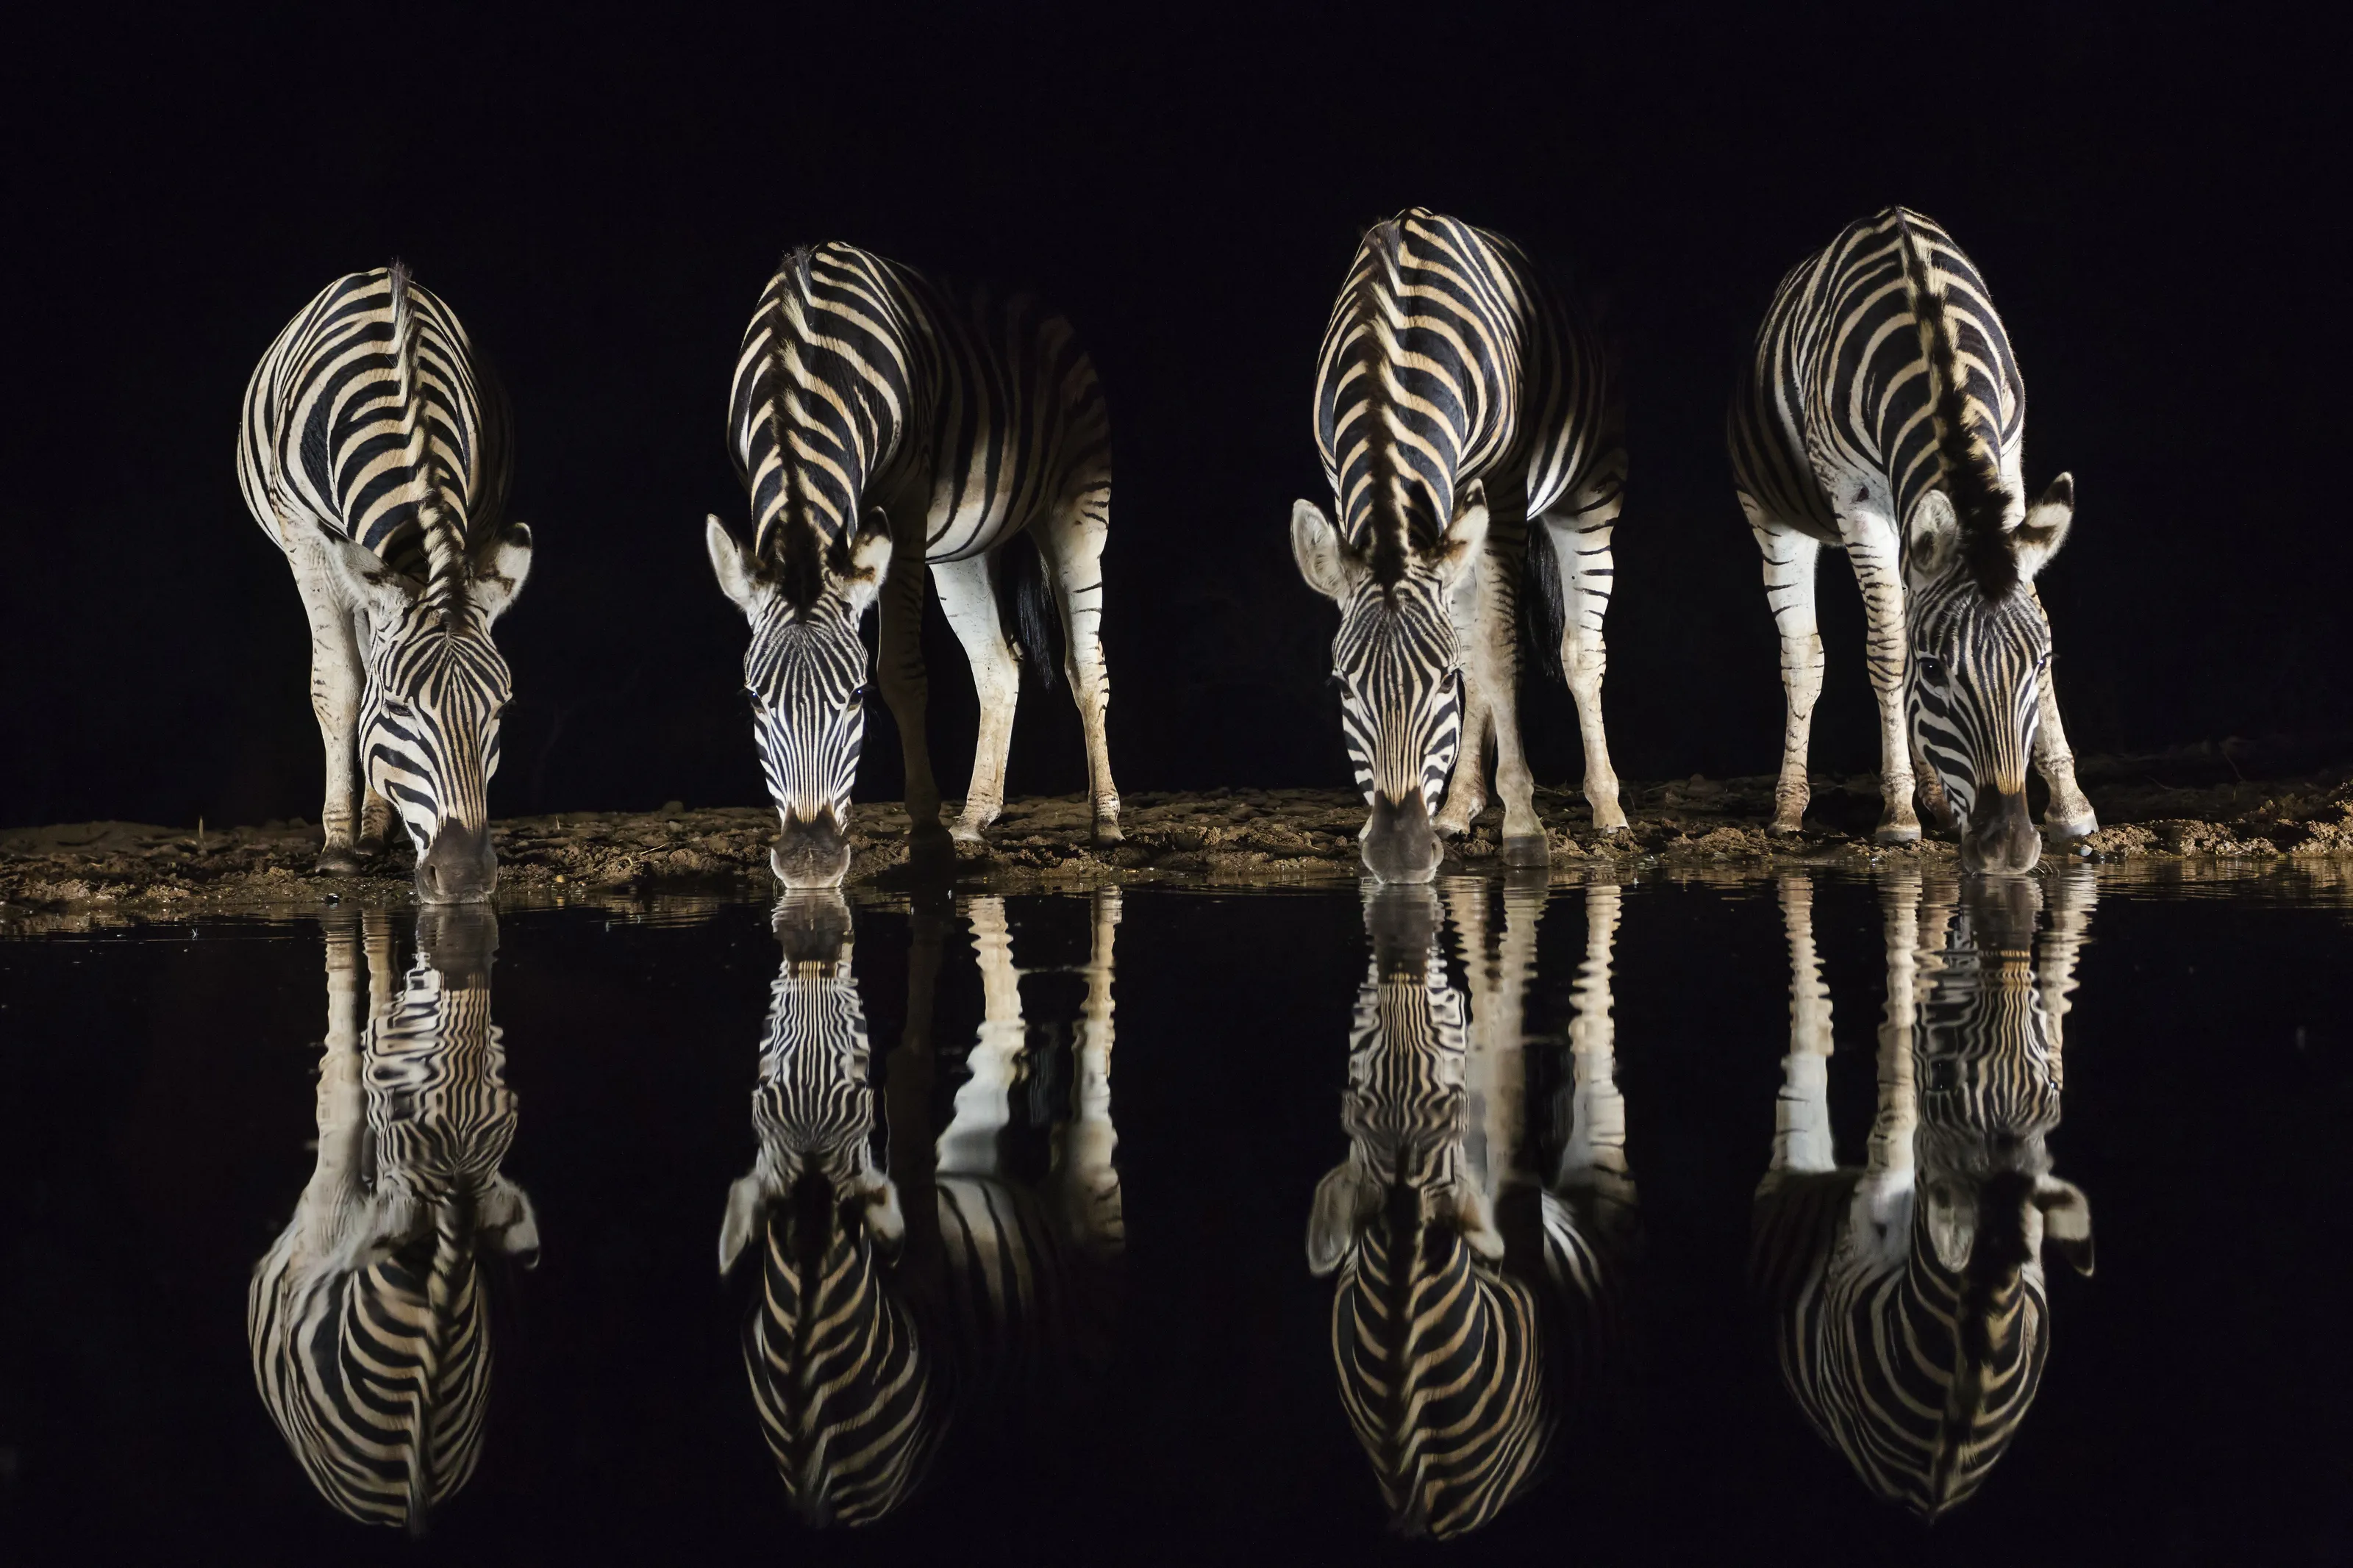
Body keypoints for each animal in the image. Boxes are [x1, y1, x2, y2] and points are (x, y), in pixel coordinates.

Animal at [238, 265, 535, 901]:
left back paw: (377, 829)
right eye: (398, 708)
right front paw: (336, 848)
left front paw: (372, 830)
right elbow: (340, 686)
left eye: (501, 708)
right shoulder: (308, 541)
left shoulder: (473, 528)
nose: (463, 876)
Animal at [704, 244, 1122, 888]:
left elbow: (901, 672)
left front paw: (926, 838)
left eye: (856, 696)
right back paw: (975, 818)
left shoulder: (902, 500)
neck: (798, 359)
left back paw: (1105, 821)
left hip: (1078, 511)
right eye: (753, 699)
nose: (808, 863)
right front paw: (945, 831)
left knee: (1084, 665)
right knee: (998, 666)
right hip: (962, 552)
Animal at [1291, 209, 1628, 882]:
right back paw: (1458, 805)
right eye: (1341, 686)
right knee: (1475, 637)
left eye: (1441, 682)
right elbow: (1475, 654)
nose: (1399, 856)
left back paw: (1608, 810)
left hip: (1590, 490)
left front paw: (1524, 828)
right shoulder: (1350, 495)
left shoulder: (1501, 500)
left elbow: (1497, 656)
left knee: (1580, 651)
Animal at [1729, 208, 2098, 872]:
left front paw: (2071, 805)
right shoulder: (1857, 501)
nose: (2008, 847)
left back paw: (1939, 798)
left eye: (2041, 662)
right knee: (1803, 655)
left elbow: (2028, 616)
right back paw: (1791, 808)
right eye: (1935, 669)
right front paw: (1899, 815)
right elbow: (1888, 652)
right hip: (1771, 515)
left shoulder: (2008, 471)